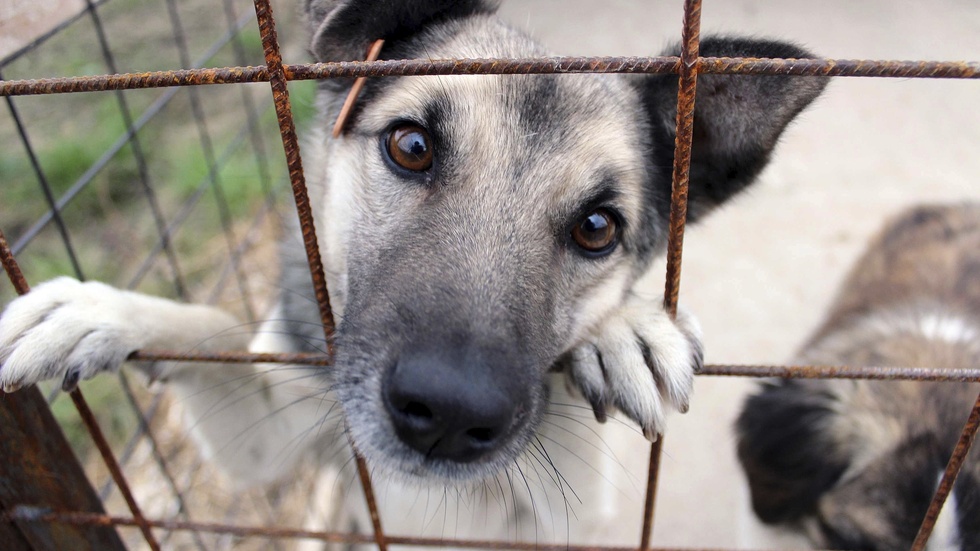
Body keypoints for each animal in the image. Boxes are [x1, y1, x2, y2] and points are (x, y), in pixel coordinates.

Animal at [0, 0, 828, 544]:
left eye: (598, 227)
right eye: (410, 146)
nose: (450, 414)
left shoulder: (560, 516)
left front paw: (623, 328)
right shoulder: (268, 443)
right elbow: (215, 329)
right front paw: (101, 310)